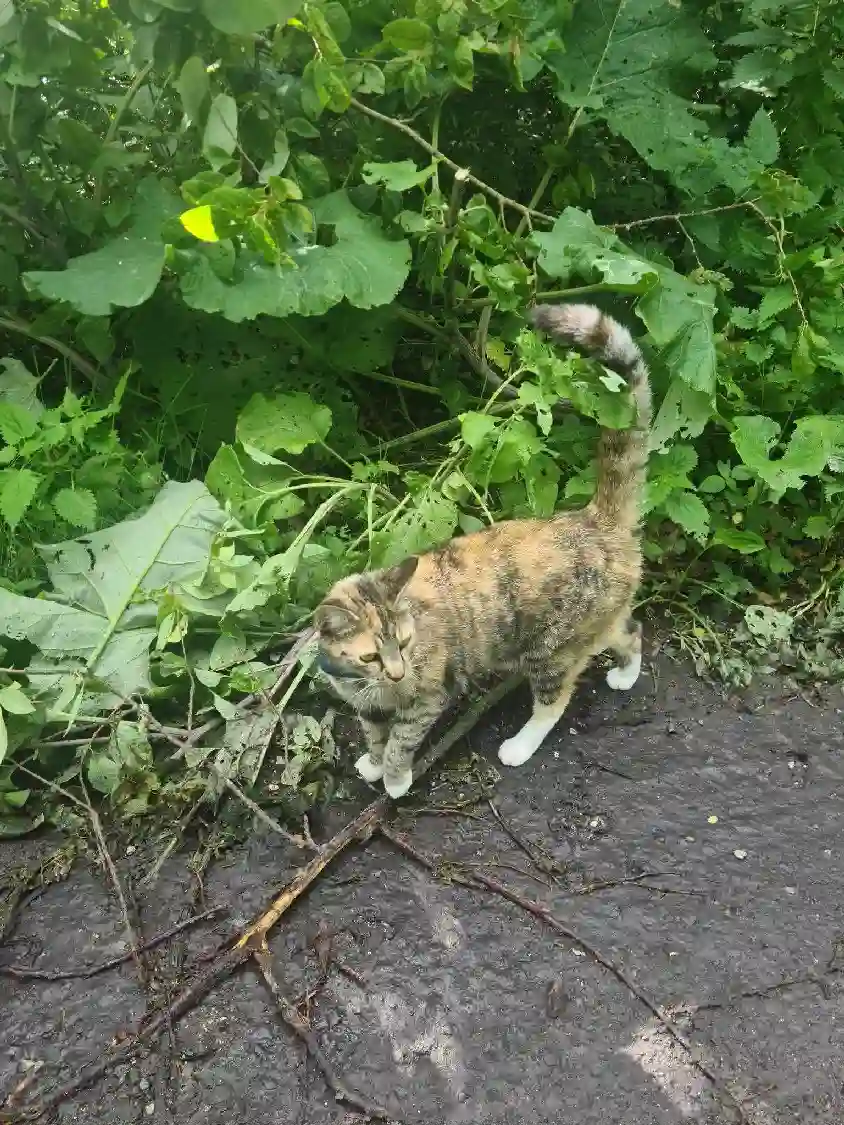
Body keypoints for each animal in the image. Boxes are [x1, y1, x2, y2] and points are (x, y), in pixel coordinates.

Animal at [315, 301, 652, 801]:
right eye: (370, 657)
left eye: (406, 644)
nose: (396, 674)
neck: (369, 685)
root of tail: (595, 519)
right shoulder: (367, 706)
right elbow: (375, 737)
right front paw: (373, 766)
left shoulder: (427, 698)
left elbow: (400, 741)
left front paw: (394, 778)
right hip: (593, 623)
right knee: (631, 632)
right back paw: (626, 674)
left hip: (550, 649)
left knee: (554, 700)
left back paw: (520, 746)